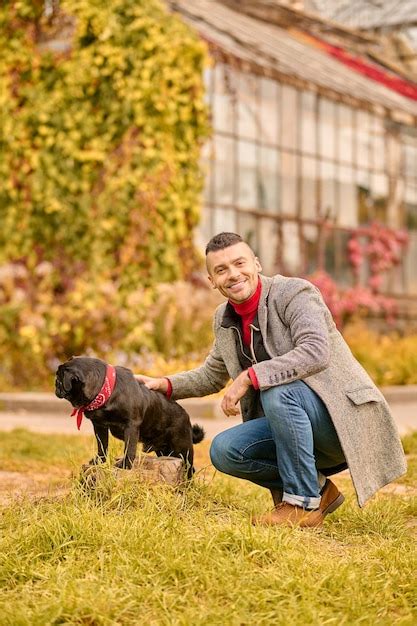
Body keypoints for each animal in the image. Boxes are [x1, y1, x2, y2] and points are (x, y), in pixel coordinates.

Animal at [55, 354, 205, 476]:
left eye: (59, 379)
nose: (55, 385)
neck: (106, 389)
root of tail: (186, 418)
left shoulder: (131, 425)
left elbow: (129, 448)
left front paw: (125, 465)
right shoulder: (99, 426)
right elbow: (102, 445)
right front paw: (99, 461)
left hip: (182, 449)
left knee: (190, 468)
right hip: (165, 451)